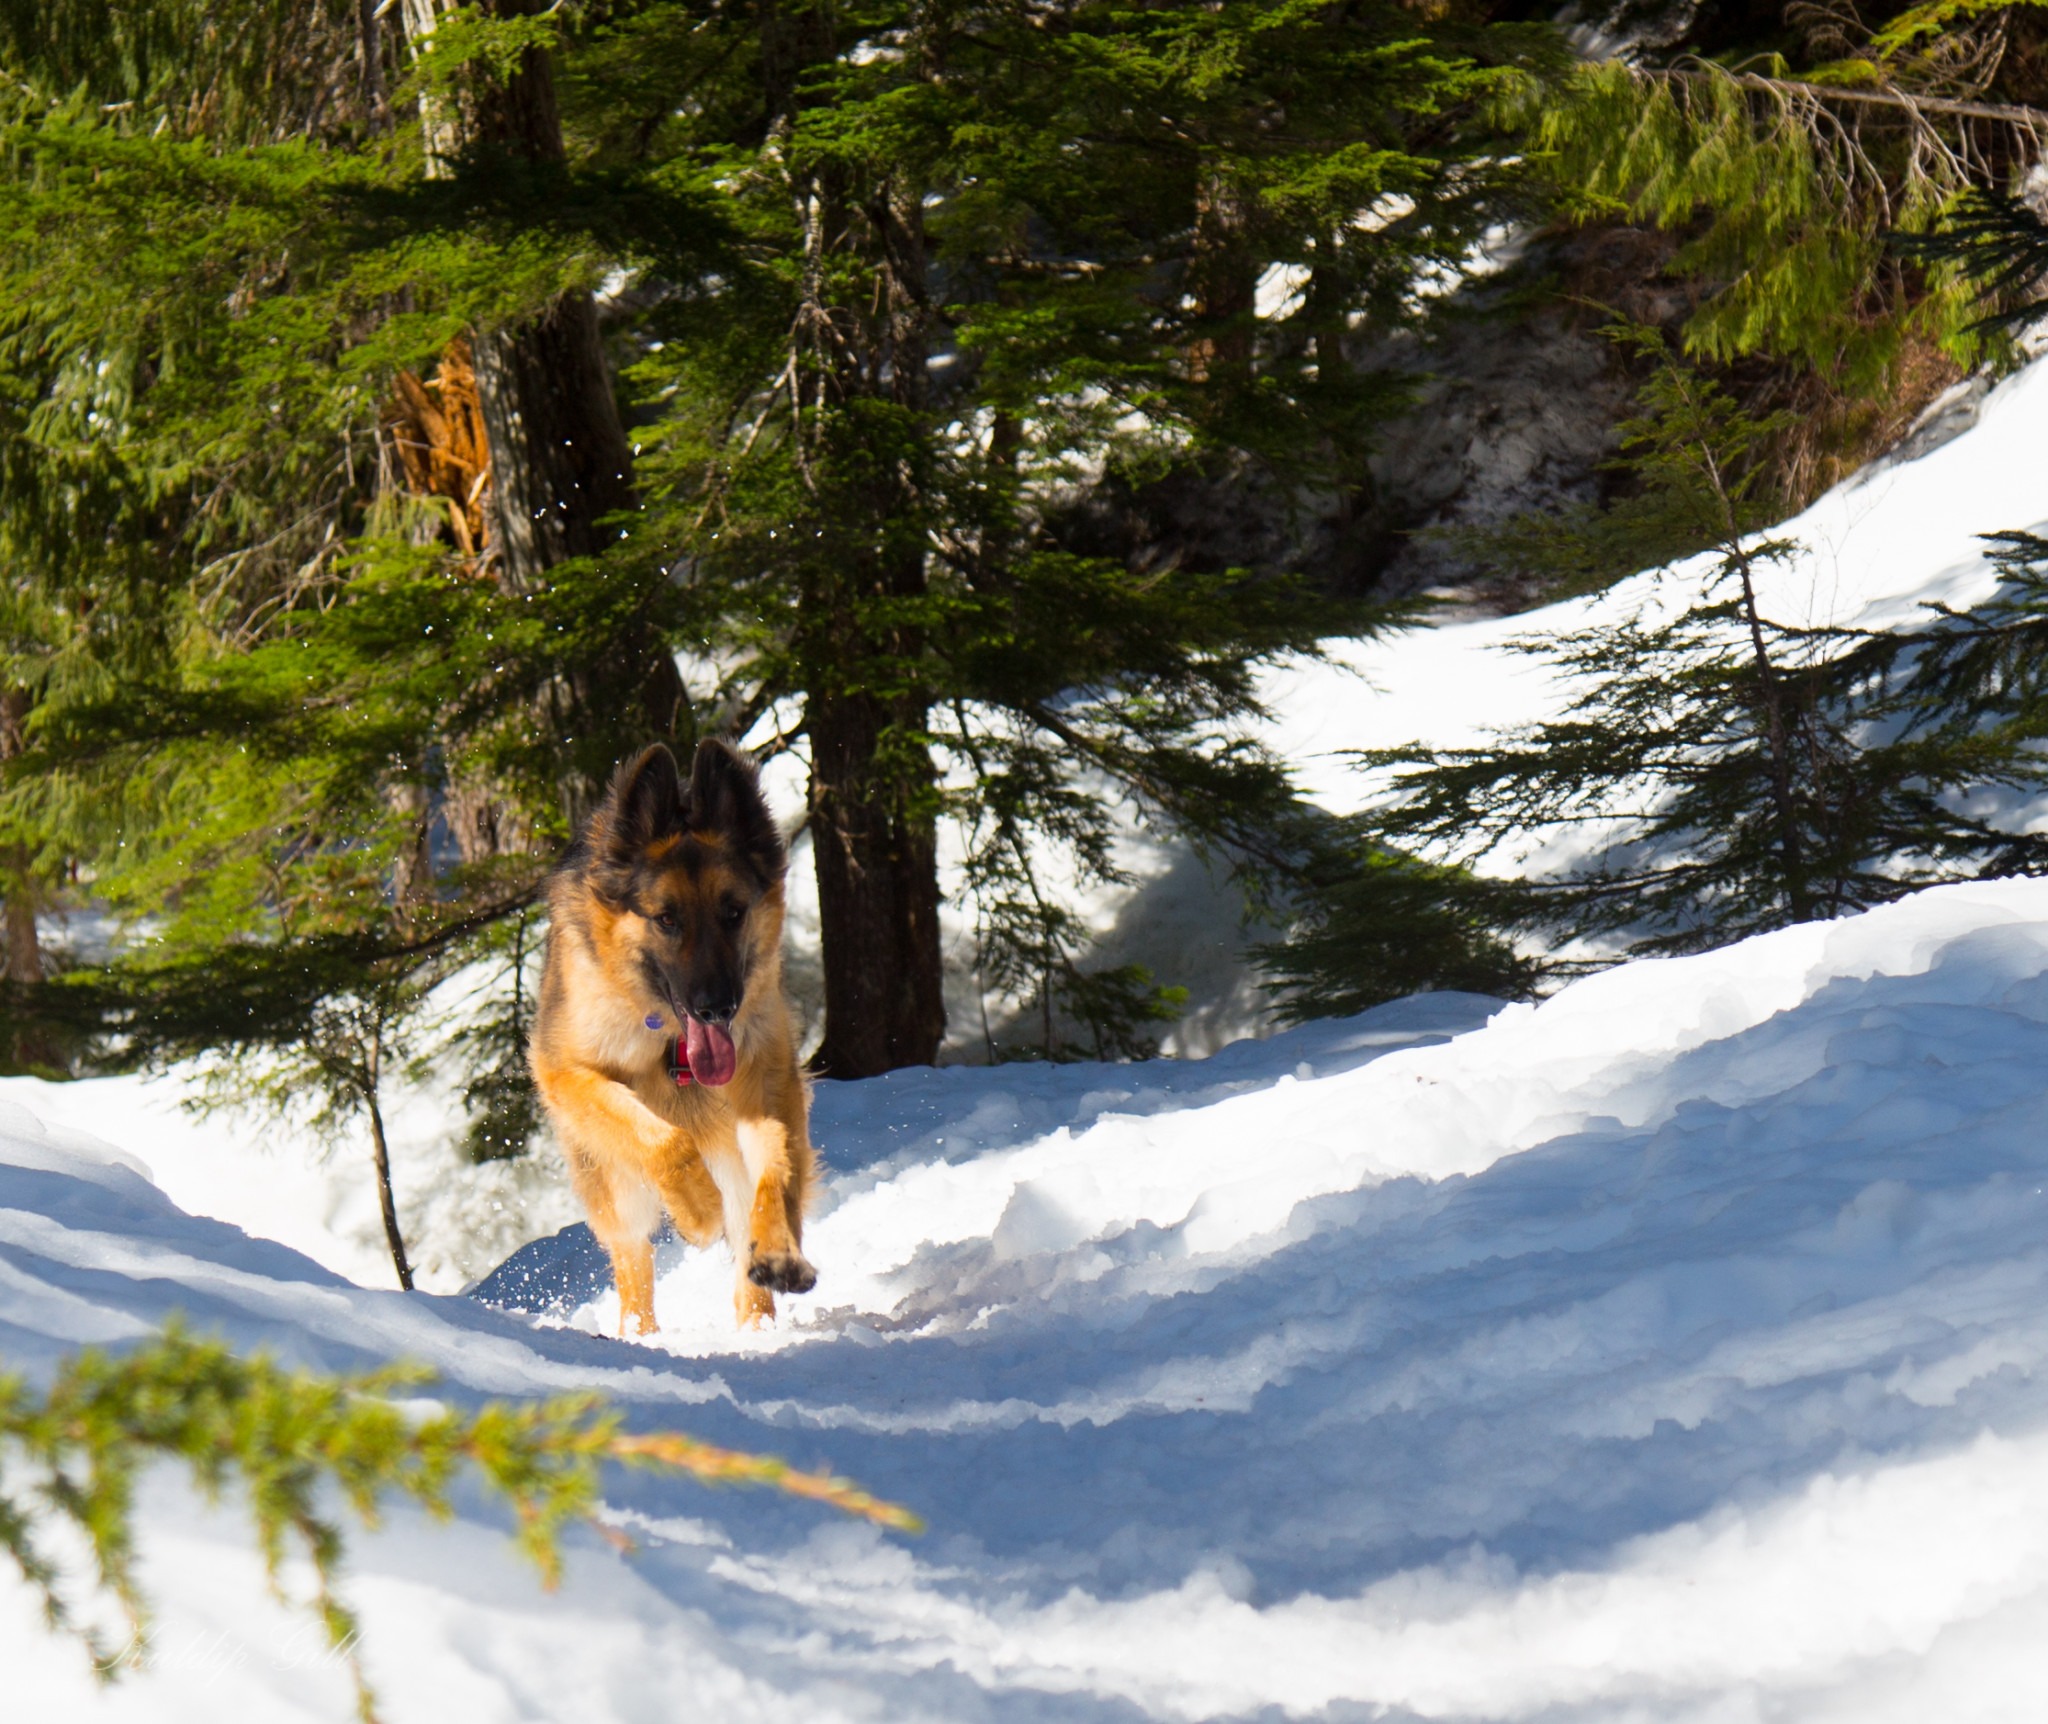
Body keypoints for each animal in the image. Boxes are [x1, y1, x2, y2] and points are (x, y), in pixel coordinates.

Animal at [528, 739, 817, 1333]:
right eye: (666, 919)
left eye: (734, 912)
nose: (717, 1006)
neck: (672, 1043)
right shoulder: (567, 1073)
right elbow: (665, 1141)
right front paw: (698, 1213)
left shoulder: (765, 1085)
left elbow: (775, 1173)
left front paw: (779, 1251)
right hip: (612, 1183)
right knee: (632, 1258)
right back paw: (640, 1334)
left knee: (744, 1224)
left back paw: (757, 1326)